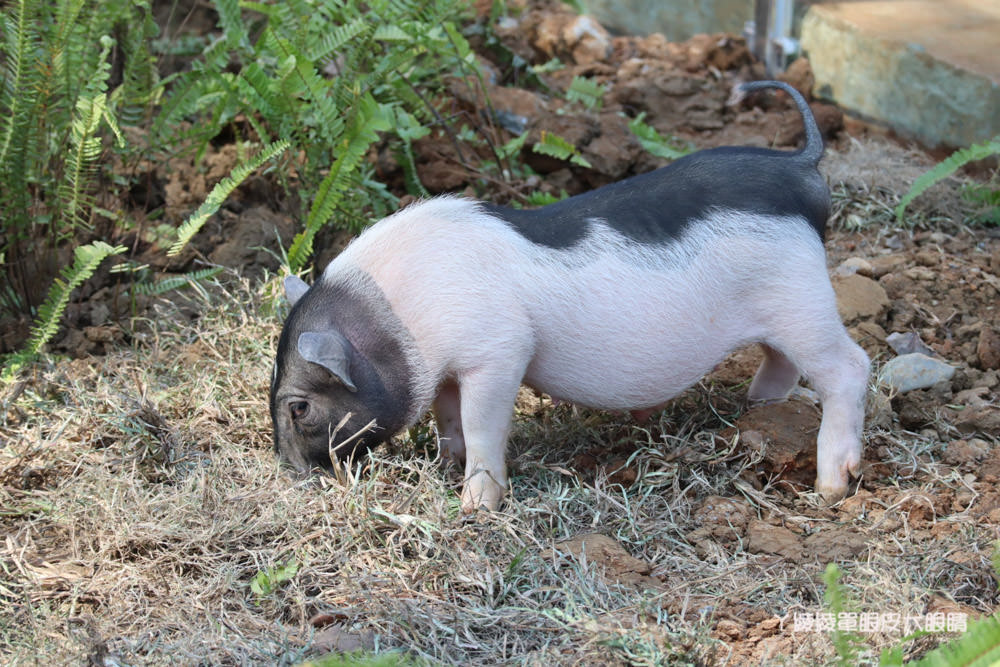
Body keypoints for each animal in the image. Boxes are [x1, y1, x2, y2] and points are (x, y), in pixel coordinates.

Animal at [270, 81, 872, 516]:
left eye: (300, 407)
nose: (291, 475)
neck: (399, 319)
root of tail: (799, 165)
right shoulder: (446, 369)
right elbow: (448, 417)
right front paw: (445, 463)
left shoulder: (499, 350)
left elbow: (483, 424)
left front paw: (475, 506)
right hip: (783, 310)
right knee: (781, 360)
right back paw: (757, 408)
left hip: (803, 296)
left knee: (850, 365)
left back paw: (831, 489)